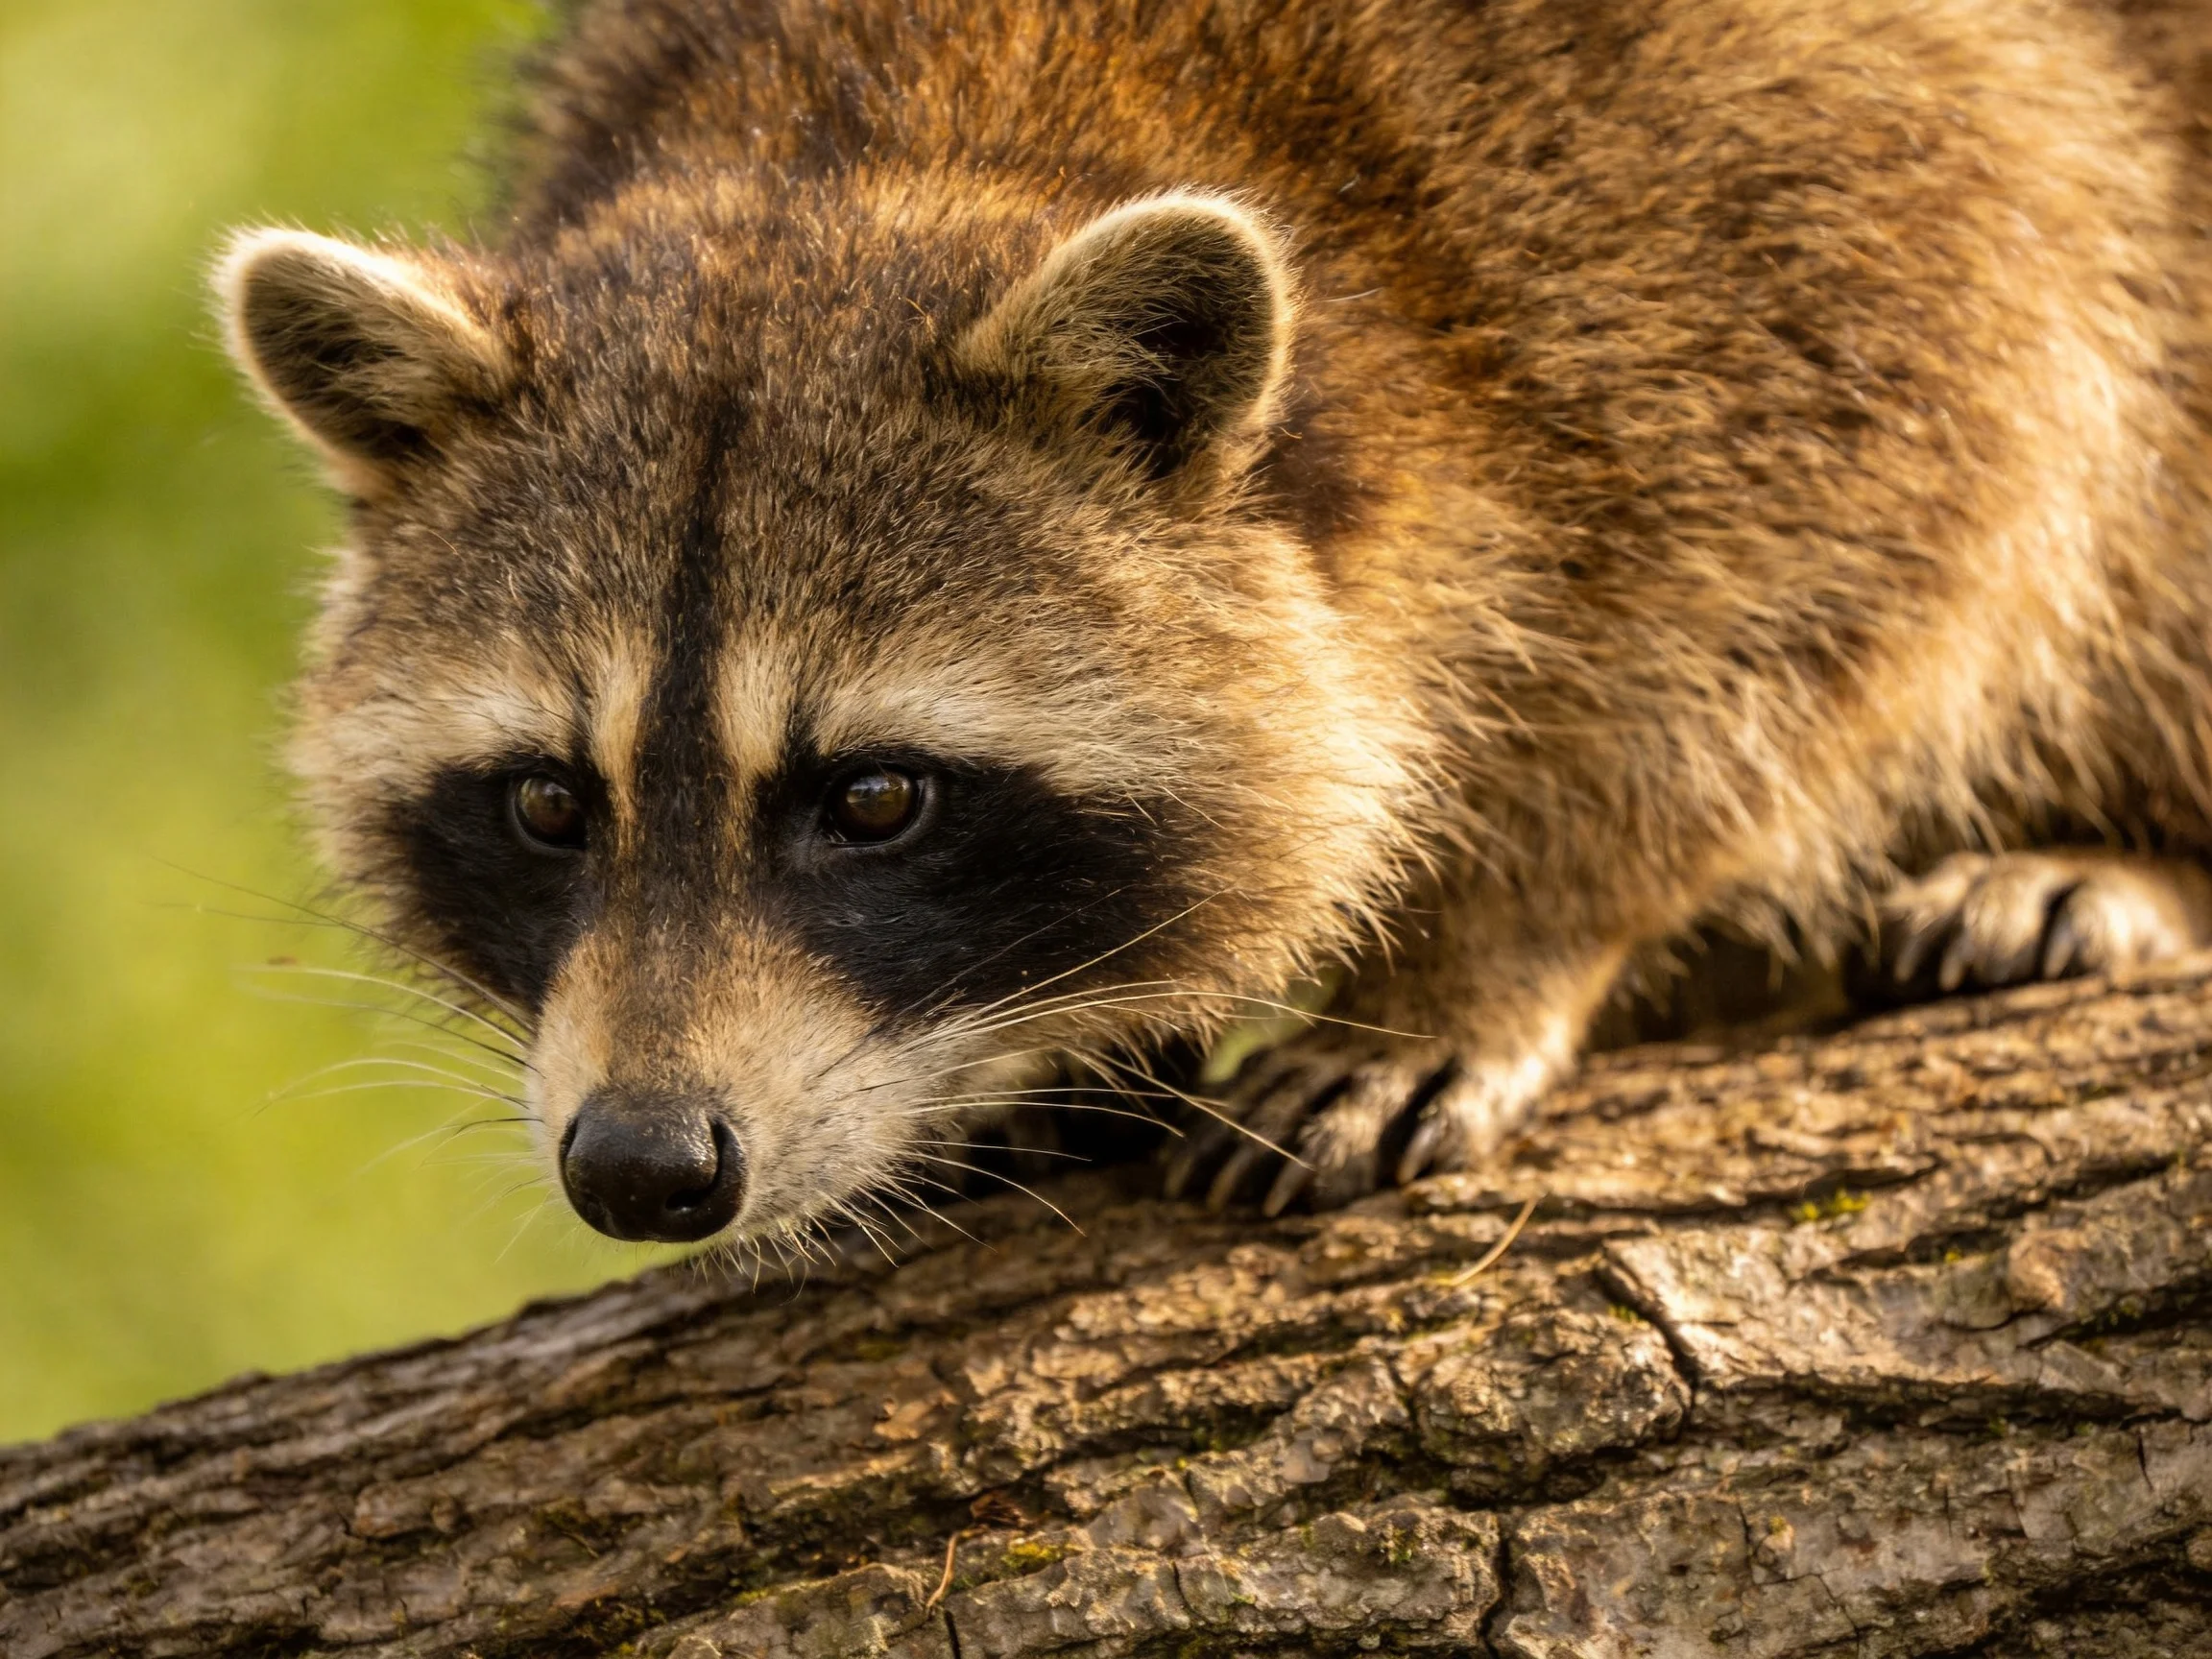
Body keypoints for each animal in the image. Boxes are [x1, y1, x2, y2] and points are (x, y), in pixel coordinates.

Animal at [219, 0, 2212, 1247]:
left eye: (875, 797)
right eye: (548, 801)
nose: (643, 1164)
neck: (904, 129)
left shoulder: (1802, 203)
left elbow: (1887, 548)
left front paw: (1497, 937)